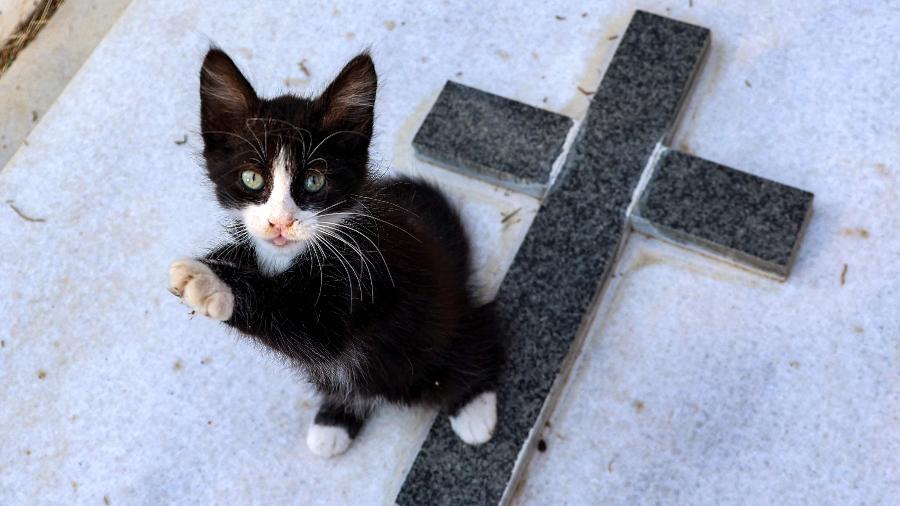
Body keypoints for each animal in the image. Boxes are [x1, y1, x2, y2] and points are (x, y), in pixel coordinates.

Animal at [169, 49, 506, 456]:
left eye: (314, 181)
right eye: (252, 178)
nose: (280, 223)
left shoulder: (364, 278)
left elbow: (299, 323)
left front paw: (210, 280)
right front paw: (218, 264)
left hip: (438, 328)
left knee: (474, 341)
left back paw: (473, 404)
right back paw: (335, 420)